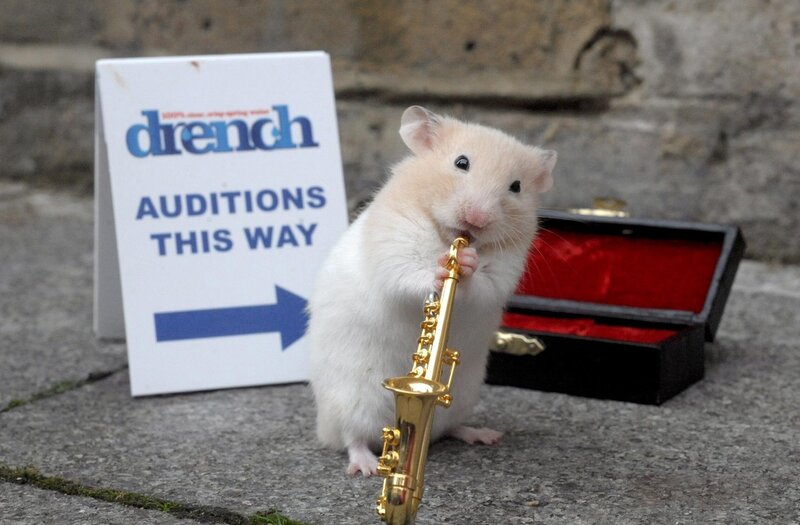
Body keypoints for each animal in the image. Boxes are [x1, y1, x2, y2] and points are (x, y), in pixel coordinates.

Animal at [308, 106, 556, 476]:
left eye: (516, 187)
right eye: (461, 163)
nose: (477, 220)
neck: (444, 234)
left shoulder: (504, 270)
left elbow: (482, 283)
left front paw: (466, 261)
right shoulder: (395, 250)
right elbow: (409, 274)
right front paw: (442, 268)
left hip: (463, 396)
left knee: (450, 427)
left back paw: (484, 435)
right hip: (351, 401)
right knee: (352, 438)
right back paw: (366, 466)